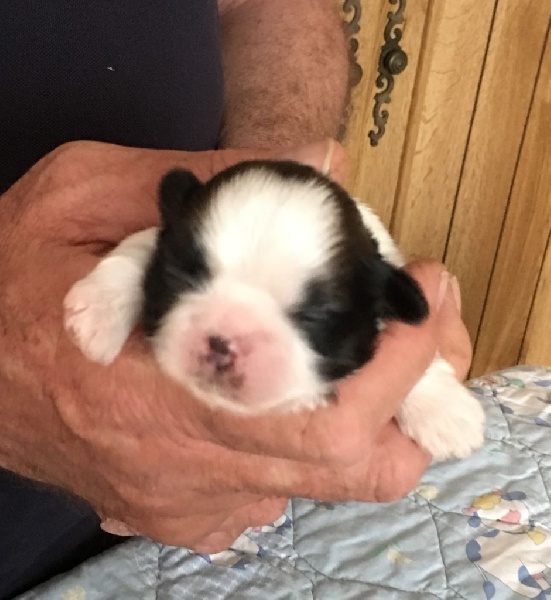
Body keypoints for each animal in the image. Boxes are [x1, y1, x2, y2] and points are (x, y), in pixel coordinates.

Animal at [64, 160, 484, 460]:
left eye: (314, 317)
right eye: (179, 276)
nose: (222, 342)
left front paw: (447, 413)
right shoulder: (159, 237)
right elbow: (136, 248)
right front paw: (98, 311)